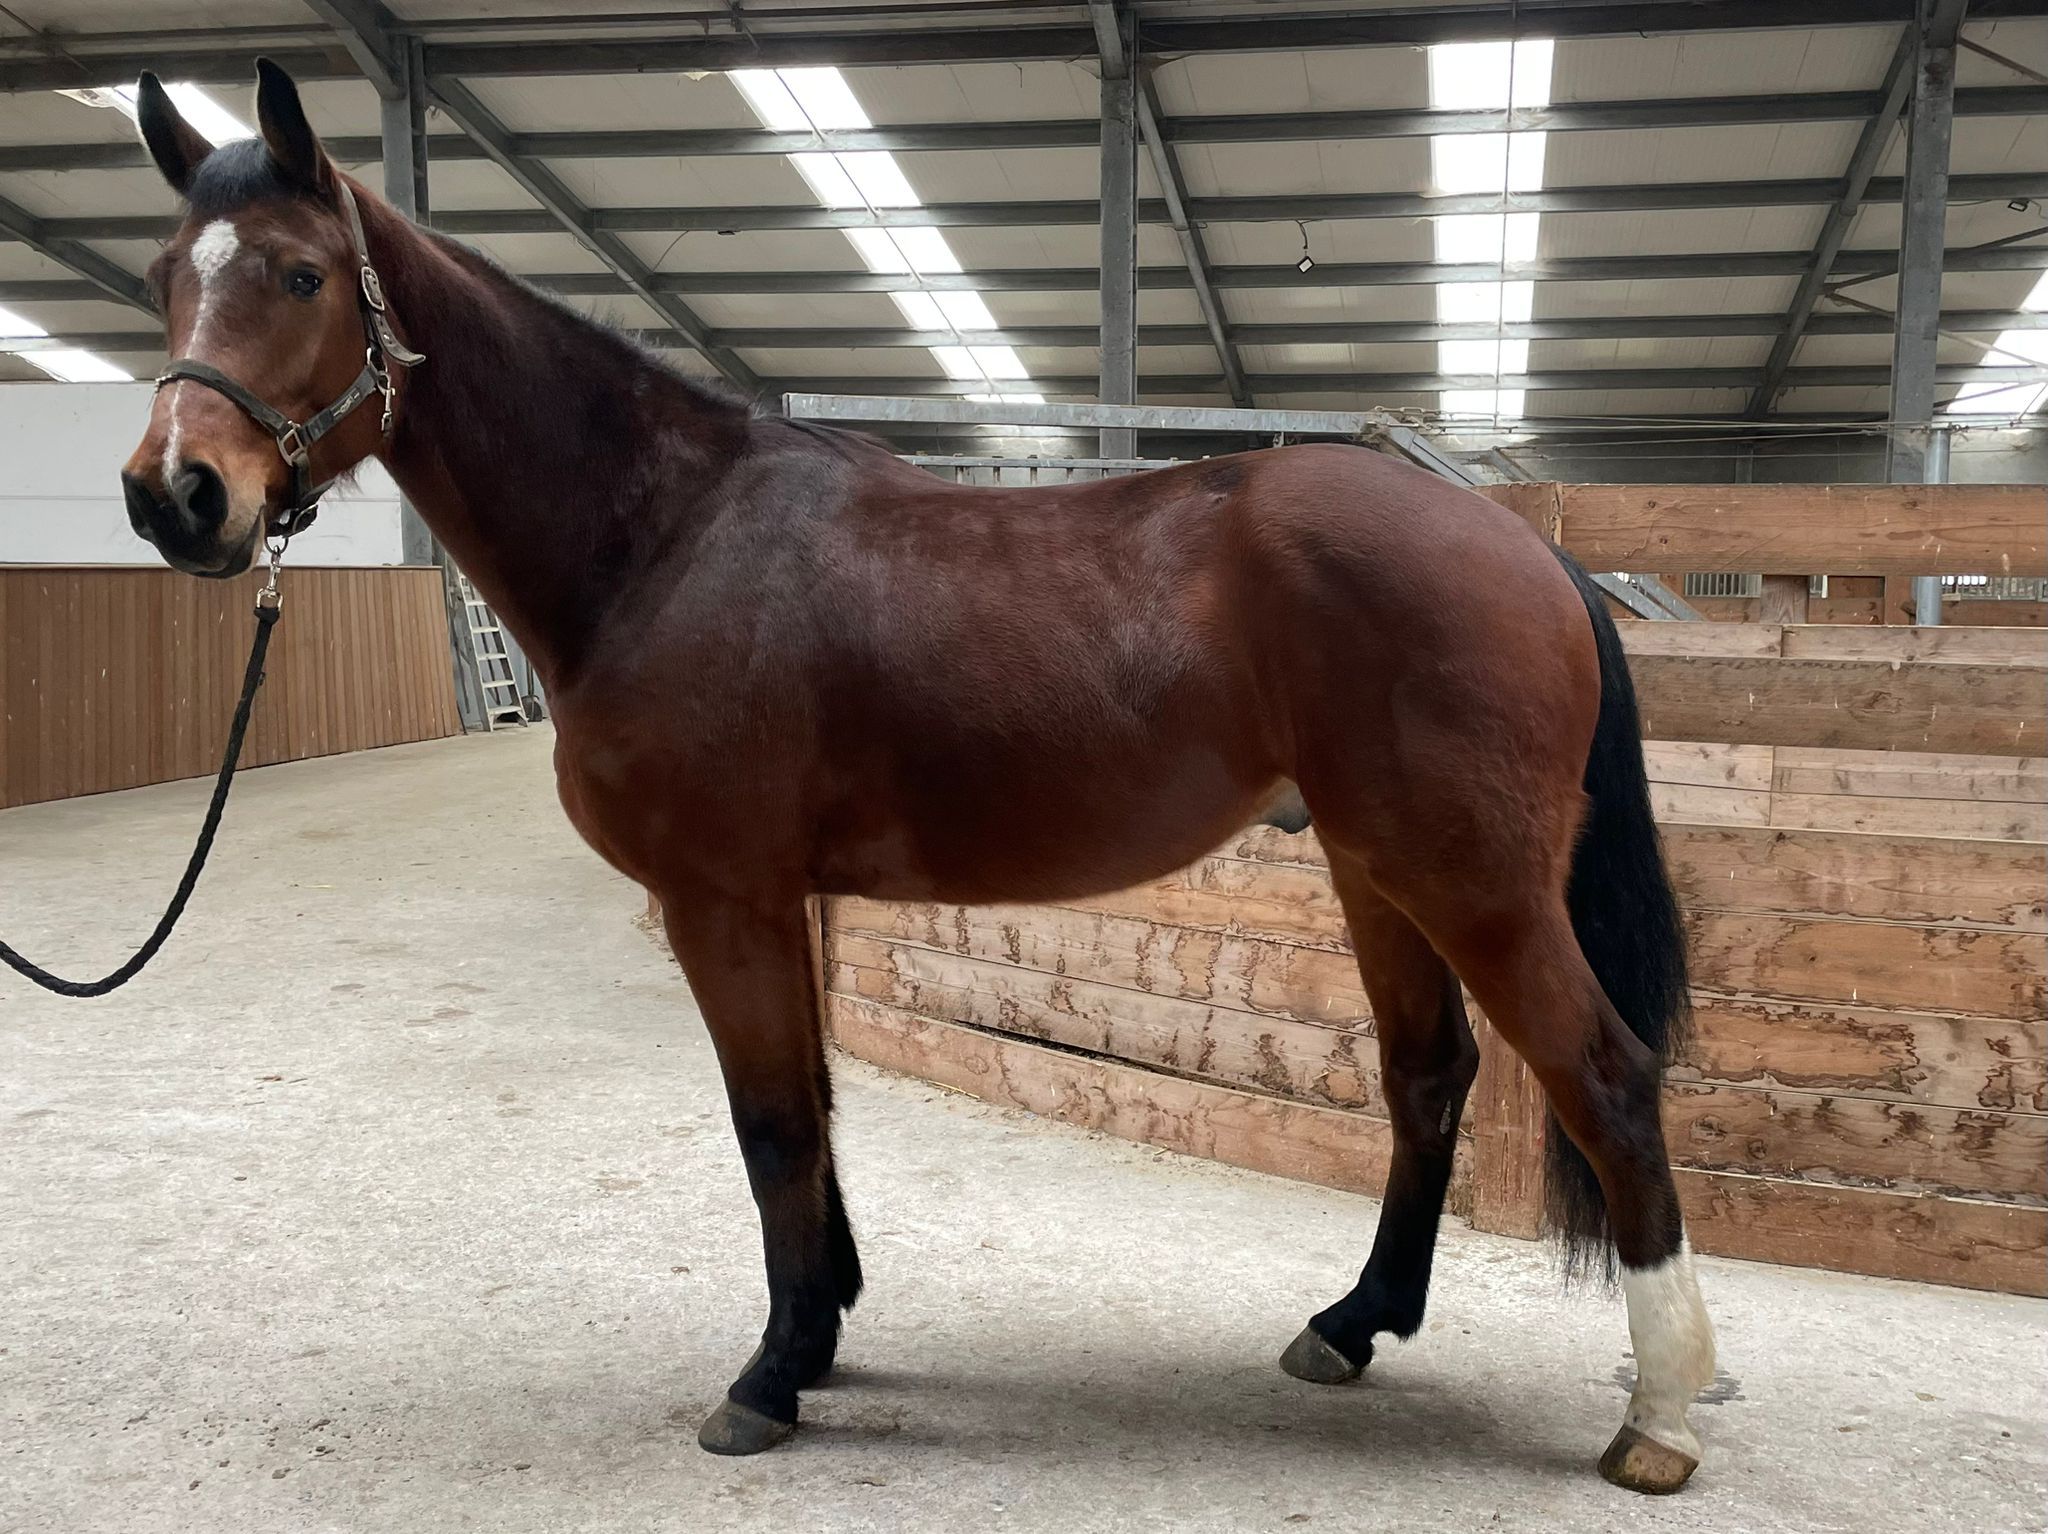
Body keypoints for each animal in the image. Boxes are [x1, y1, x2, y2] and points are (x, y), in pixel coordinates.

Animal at [117, 62, 1715, 1493]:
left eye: (302, 275)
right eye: (160, 279)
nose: (176, 496)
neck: (664, 537)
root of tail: (1529, 550)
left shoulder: (722, 897)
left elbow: (772, 1123)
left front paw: (768, 1378)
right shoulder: (776, 903)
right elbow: (811, 1111)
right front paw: (819, 1329)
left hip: (1470, 876)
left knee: (1605, 1076)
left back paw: (1660, 1418)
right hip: (1373, 865)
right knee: (1428, 1073)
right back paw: (1352, 1323)